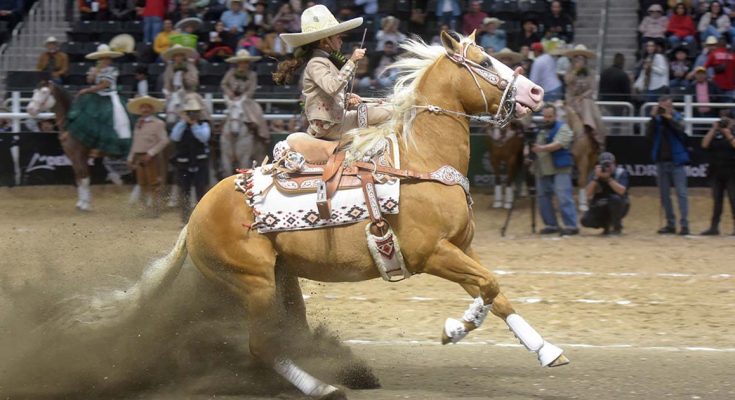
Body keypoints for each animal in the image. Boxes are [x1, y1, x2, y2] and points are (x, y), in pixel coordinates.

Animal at [69, 32, 568, 398]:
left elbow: (494, 293)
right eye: (483, 60)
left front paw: (537, 348)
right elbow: (489, 287)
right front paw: (463, 331)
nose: (536, 90)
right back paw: (323, 387)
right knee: (262, 344)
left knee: (282, 336)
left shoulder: (462, 247)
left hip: (282, 279)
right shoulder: (433, 254)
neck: (420, 159)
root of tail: (195, 217)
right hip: (254, 284)